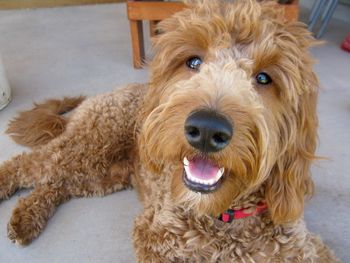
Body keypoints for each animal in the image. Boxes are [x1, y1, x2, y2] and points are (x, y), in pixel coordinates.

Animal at [0, 1, 340, 262]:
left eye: (265, 78)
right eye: (194, 61)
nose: (206, 129)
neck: (224, 218)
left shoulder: (306, 250)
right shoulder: (153, 235)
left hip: (103, 174)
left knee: (56, 183)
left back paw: (26, 217)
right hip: (90, 144)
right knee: (31, 164)